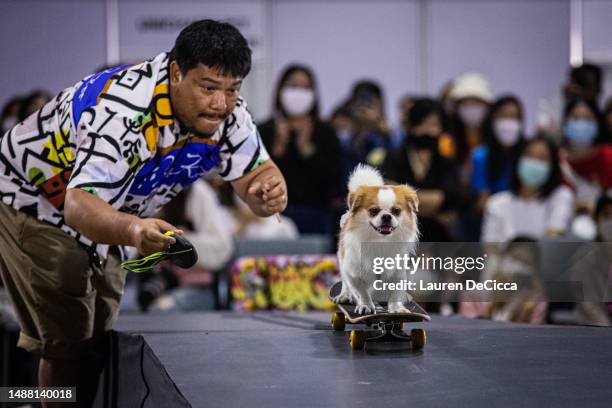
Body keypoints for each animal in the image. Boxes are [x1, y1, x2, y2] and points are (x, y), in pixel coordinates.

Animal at [332, 165, 418, 316]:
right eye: (374, 210)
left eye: (396, 211)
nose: (386, 216)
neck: (379, 241)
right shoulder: (354, 272)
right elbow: (362, 292)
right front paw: (365, 305)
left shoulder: (397, 272)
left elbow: (395, 292)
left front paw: (397, 308)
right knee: (345, 281)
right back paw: (345, 295)